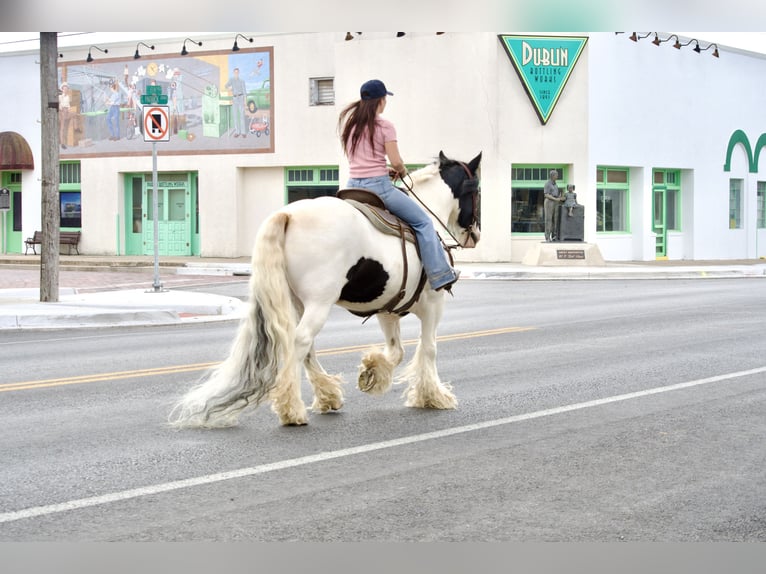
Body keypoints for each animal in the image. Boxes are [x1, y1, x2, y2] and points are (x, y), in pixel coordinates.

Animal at [169, 150, 482, 428]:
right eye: (477, 191)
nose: (475, 235)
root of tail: (288, 215)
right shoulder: (433, 304)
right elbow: (428, 349)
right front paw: (433, 396)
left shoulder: (388, 311)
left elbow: (396, 351)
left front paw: (371, 373)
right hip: (319, 303)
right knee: (300, 342)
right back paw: (291, 409)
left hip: (298, 302)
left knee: (306, 348)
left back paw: (327, 396)